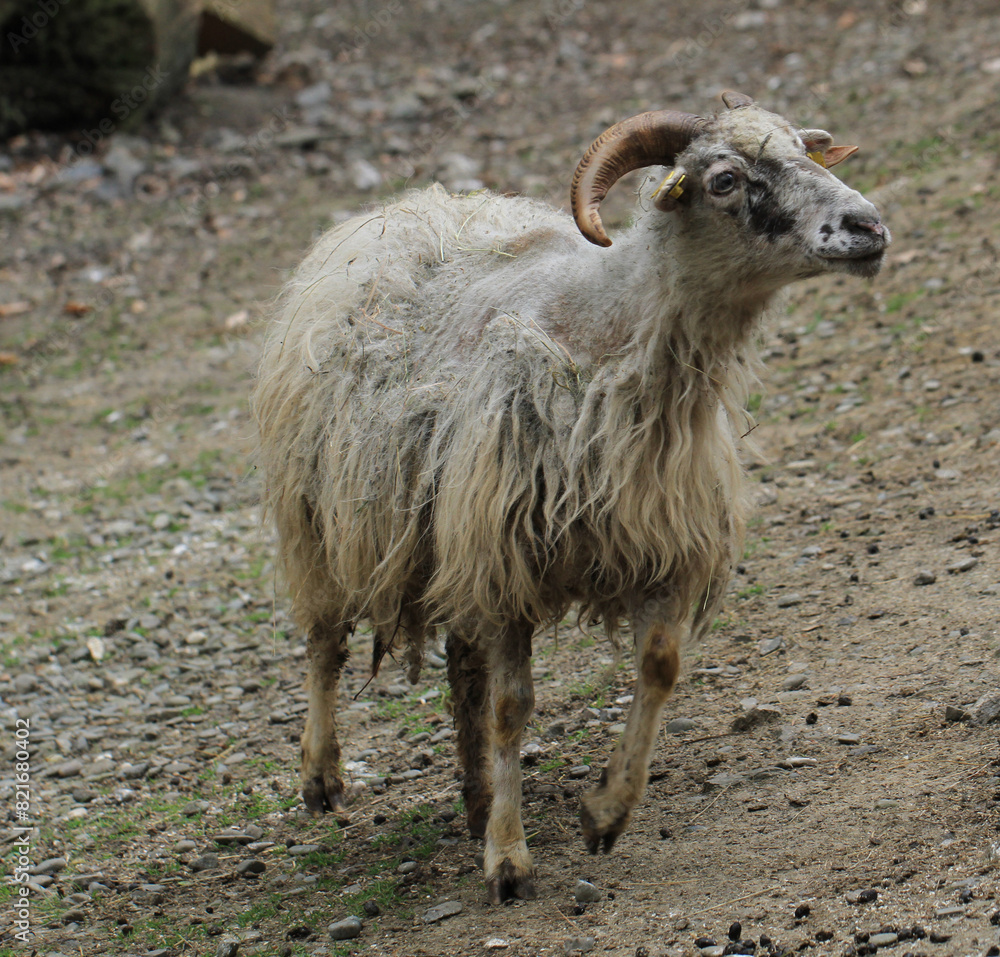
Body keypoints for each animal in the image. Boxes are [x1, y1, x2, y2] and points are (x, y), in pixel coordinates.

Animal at [252, 92, 890, 903]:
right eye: (723, 179)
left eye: (807, 154)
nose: (868, 227)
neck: (608, 334)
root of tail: (404, 205)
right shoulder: (503, 560)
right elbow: (512, 706)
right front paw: (509, 859)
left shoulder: (660, 542)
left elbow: (658, 670)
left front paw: (606, 812)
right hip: (320, 514)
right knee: (324, 641)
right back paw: (323, 774)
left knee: (460, 669)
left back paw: (475, 795)